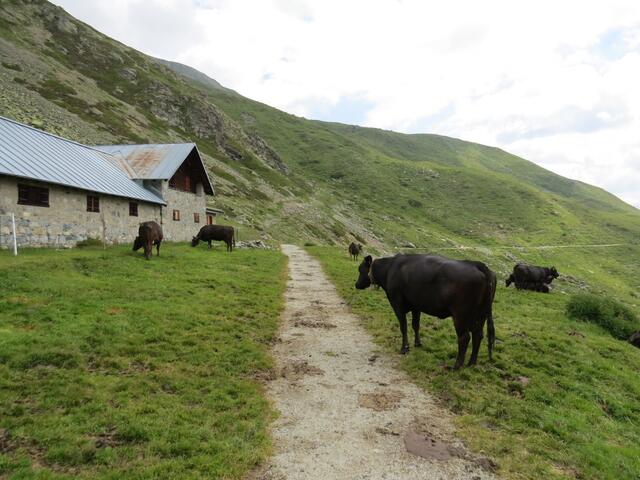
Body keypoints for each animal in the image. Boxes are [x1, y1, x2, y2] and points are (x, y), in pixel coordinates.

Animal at [356, 253, 496, 370]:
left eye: (360, 269)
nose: (356, 285)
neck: (389, 269)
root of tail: (478, 265)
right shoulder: (416, 306)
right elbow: (415, 325)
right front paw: (417, 343)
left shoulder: (397, 304)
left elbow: (403, 327)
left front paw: (404, 348)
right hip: (481, 314)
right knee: (478, 335)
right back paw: (471, 363)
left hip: (461, 315)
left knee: (464, 338)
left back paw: (456, 366)